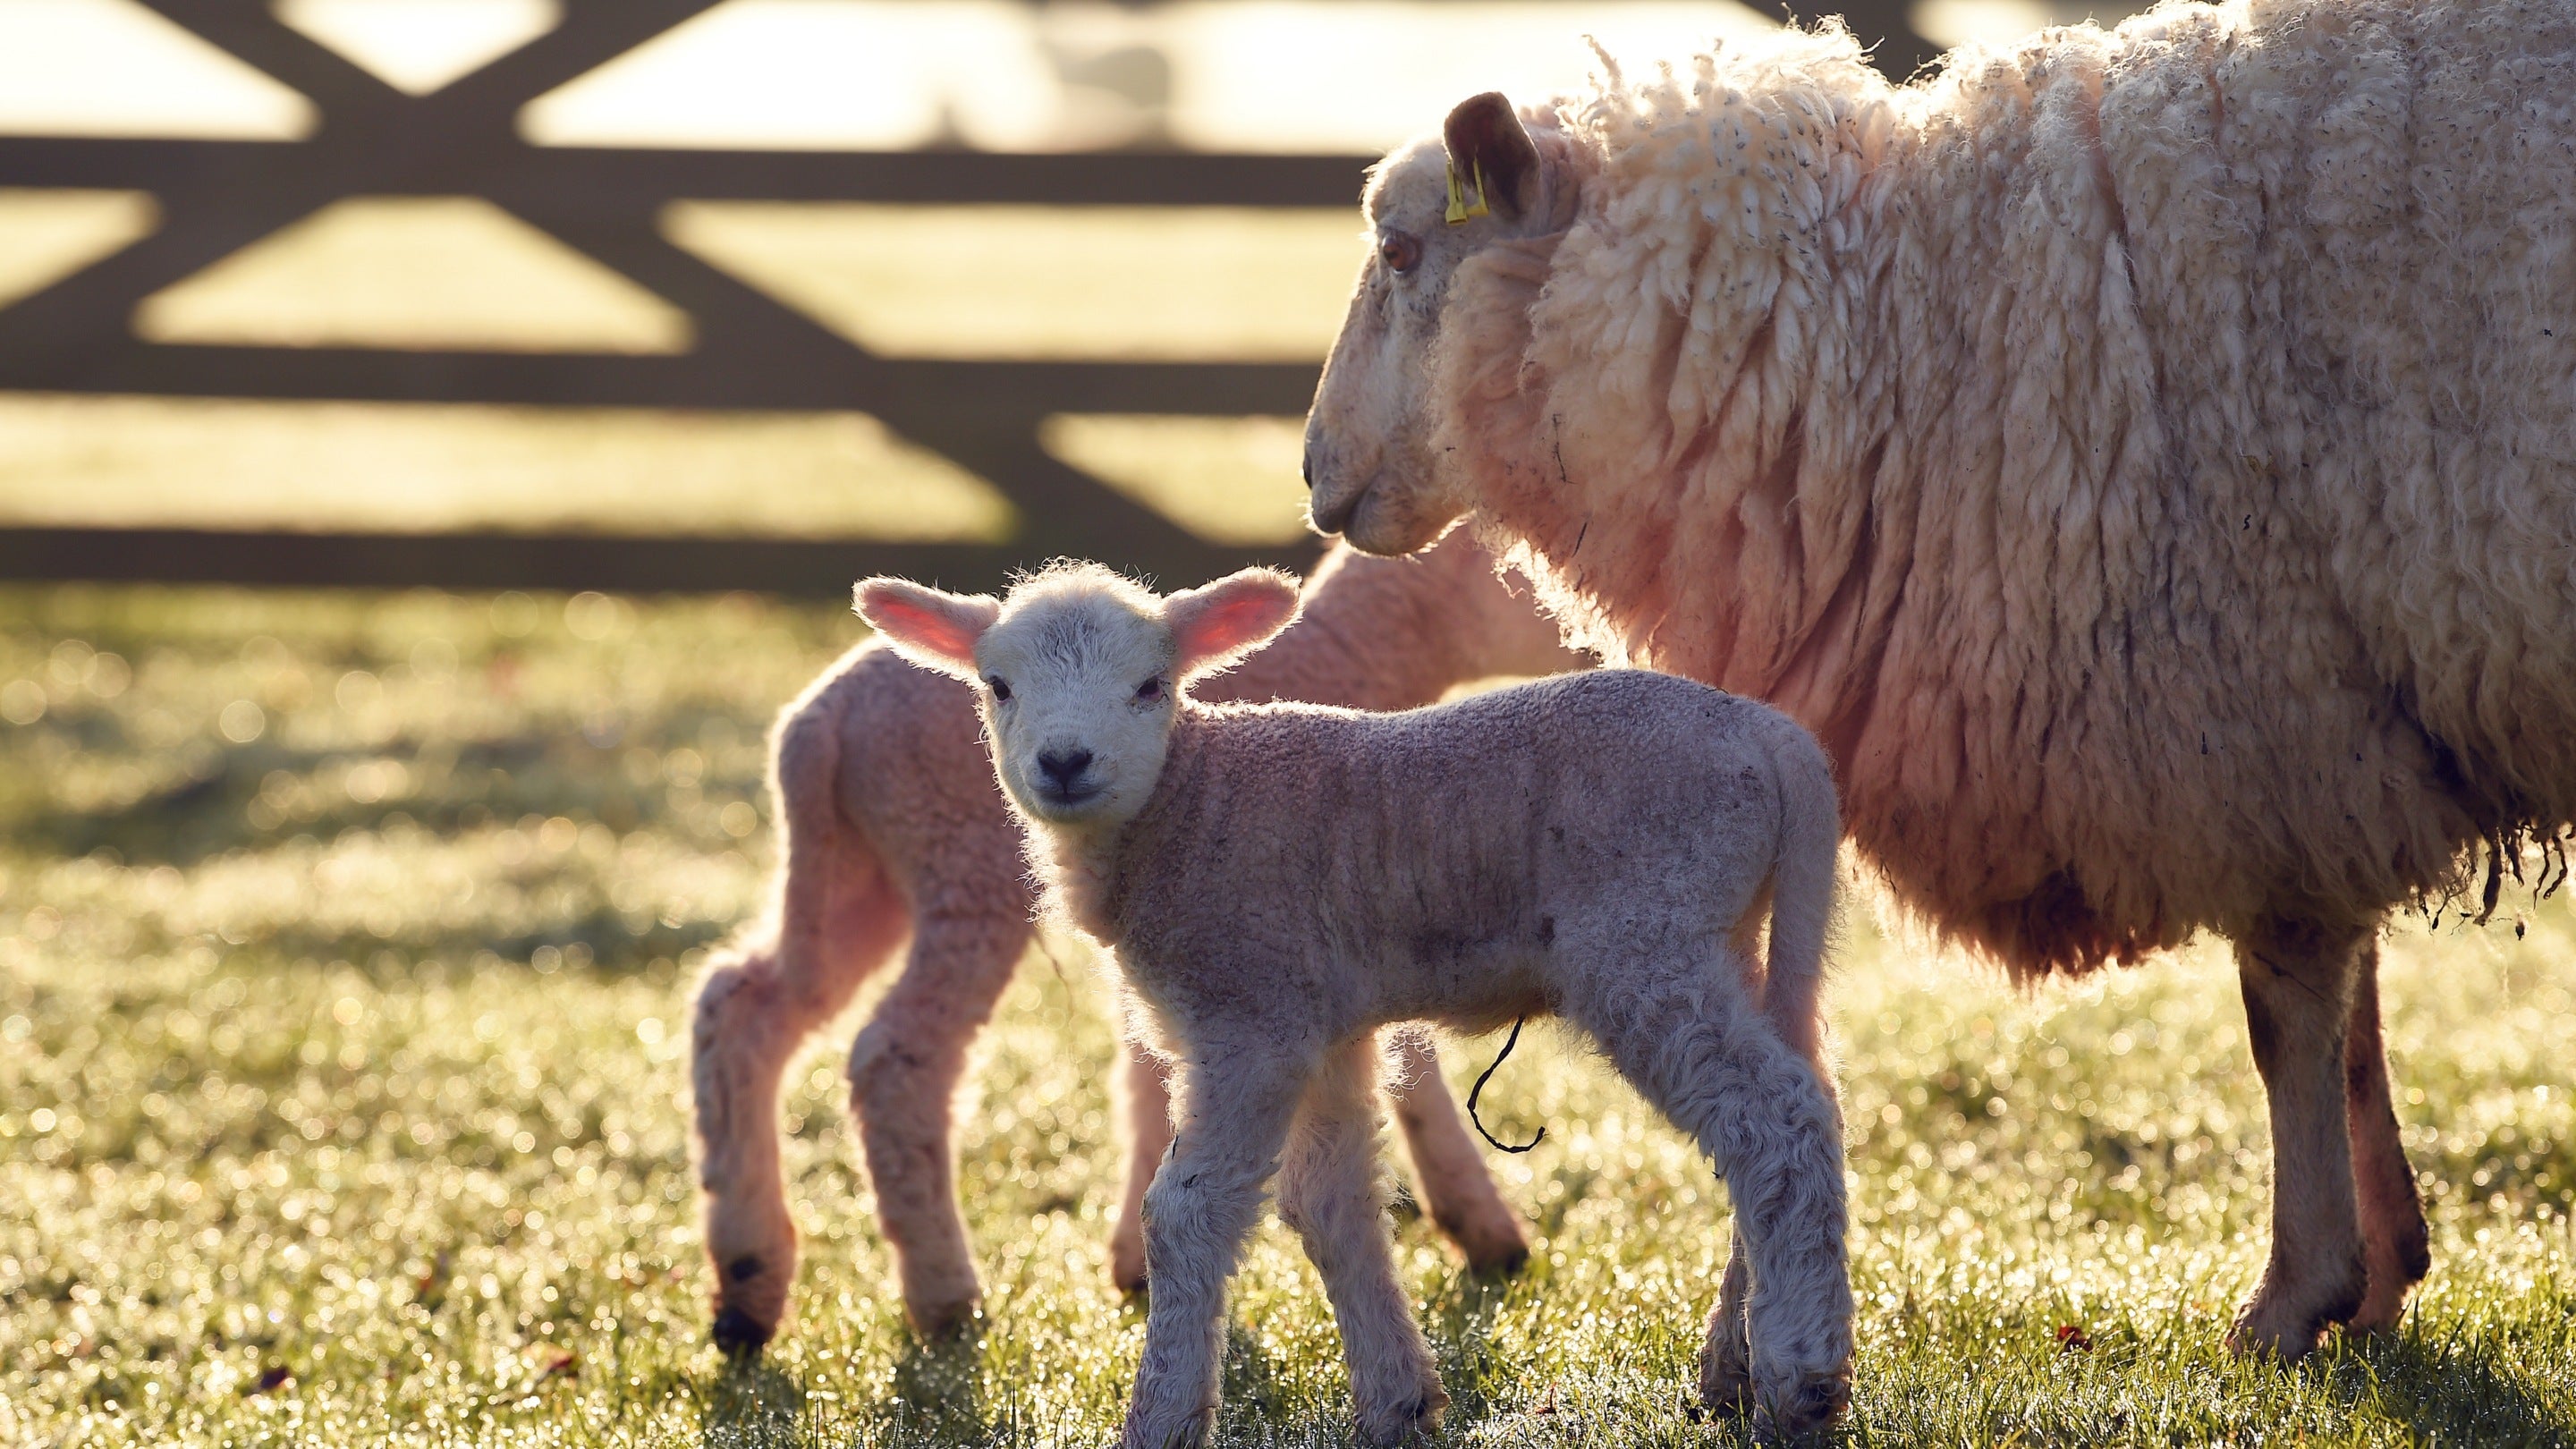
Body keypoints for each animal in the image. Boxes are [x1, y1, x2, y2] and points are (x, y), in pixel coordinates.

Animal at [690, 535, 1582, 1352]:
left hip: (848, 868)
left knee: (745, 1001)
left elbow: (1148, 1072)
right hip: (960, 867)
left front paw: (1133, 1260)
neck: (1357, 658)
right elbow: (1409, 1066)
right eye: (1527, 584)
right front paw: (1485, 1226)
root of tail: (818, 725)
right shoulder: (1333, 910)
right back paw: (943, 1296)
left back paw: (747, 1283)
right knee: (895, 1057)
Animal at [856, 561, 1854, 1444]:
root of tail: (1777, 740)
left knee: (1775, 1120)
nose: (1064, 762)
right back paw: (1734, 1370)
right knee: (1794, 1111)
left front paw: (1162, 1419)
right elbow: (1328, 1204)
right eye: (997, 686)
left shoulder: (1249, 1016)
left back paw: (1801, 1383)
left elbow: (1184, 1213)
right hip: (1725, 931)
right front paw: (1398, 1402)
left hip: (1646, 936)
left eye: (1150, 686)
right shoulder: (1320, 1023)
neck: (1189, 800)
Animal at [1299, 0, 2576, 1359]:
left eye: (1399, 250)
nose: (1313, 473)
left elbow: (2288, 1013)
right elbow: (2354, 1019)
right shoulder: (2329, 730)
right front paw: (2381, 1270)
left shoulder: (2266, 710)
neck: (1904, 329)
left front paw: (2299, 1294)